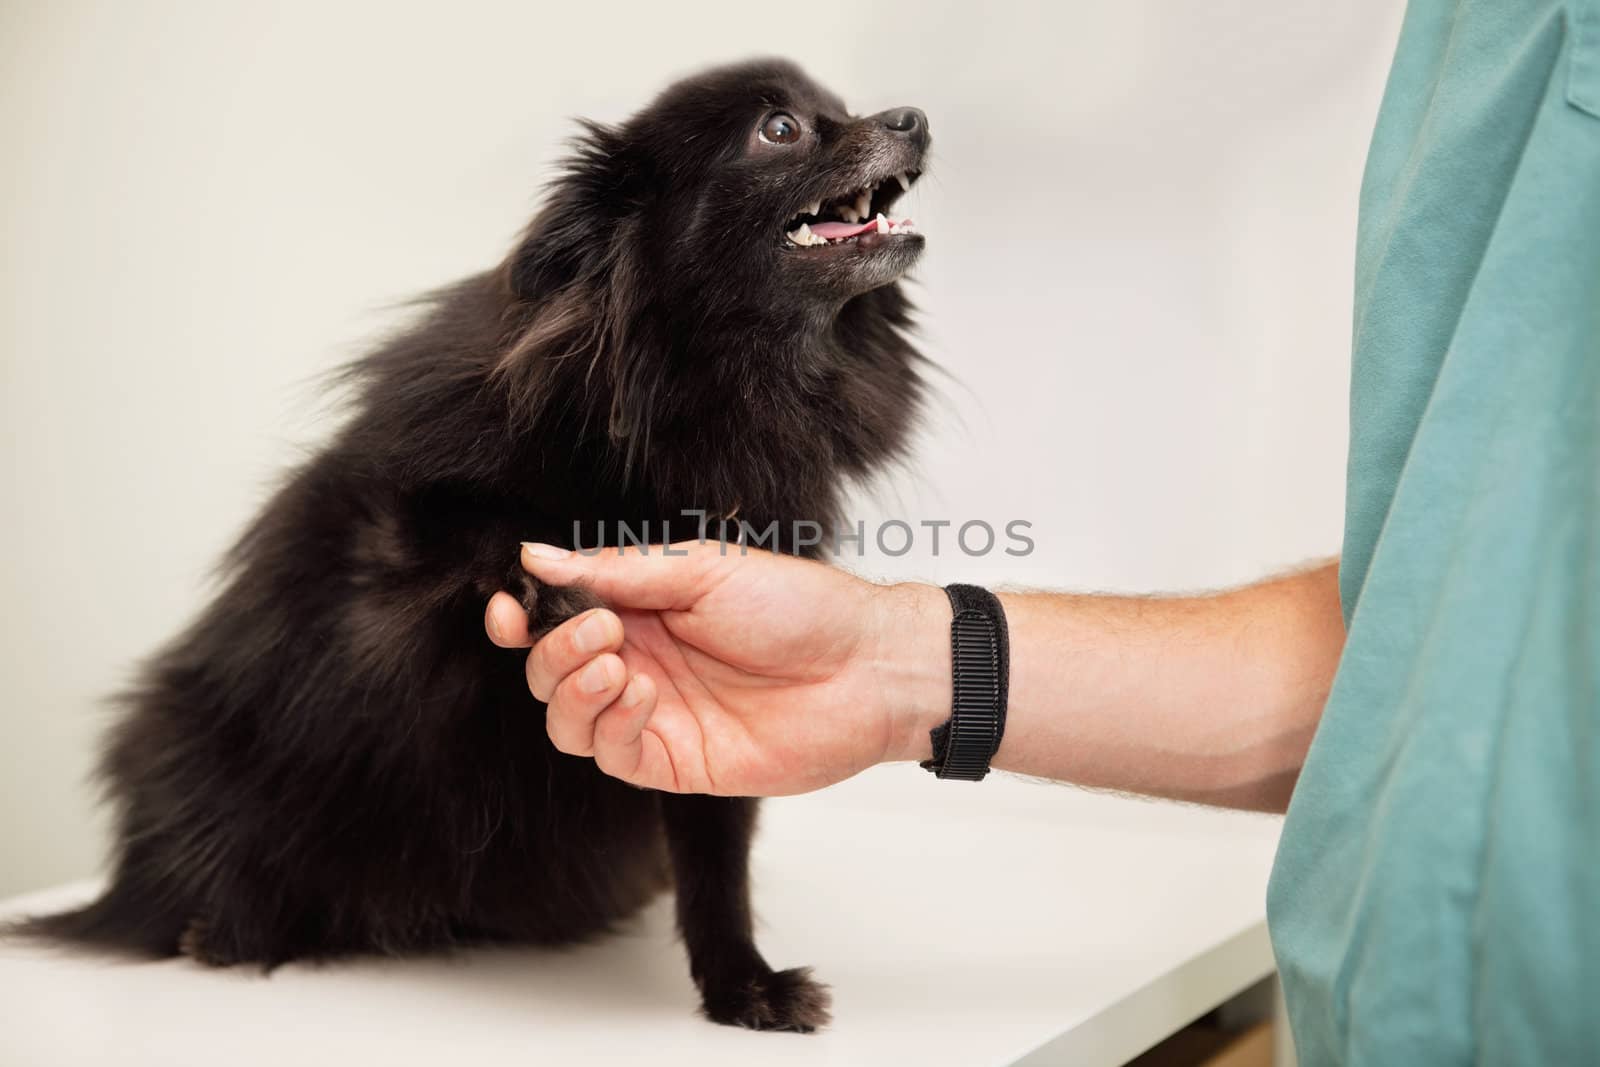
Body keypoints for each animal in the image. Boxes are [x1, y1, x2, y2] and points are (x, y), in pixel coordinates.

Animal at [18, 60, 934, 1036]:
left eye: (842, 109)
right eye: (782, 129)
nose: (912, 118)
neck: (713, 390)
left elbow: (716, 860)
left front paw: (740, 984)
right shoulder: (390, 530)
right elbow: (494, 527)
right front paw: (553, 593)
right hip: (196, 745)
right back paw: (229, 931)